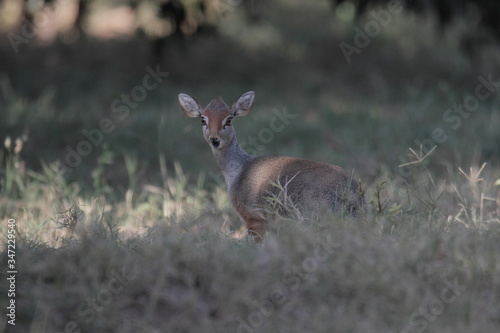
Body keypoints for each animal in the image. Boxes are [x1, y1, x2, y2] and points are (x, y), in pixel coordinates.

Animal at [180, 91, 364, 239]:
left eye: (229, 119)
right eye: (203, 119)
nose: (214, 139)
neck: (238, 171)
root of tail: (355, 197)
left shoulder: (253, 217)